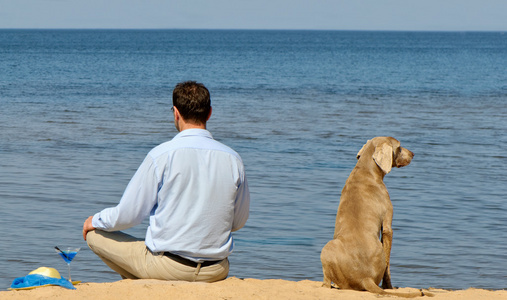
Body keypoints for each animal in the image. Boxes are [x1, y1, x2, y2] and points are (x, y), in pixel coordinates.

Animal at [322, 137, 420, 296]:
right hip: (326, 248)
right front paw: (388, 286)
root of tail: (365, 278)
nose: (413, 153)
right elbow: (388, 262)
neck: (366, 170)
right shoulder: (387, 224)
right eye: (399, 147)